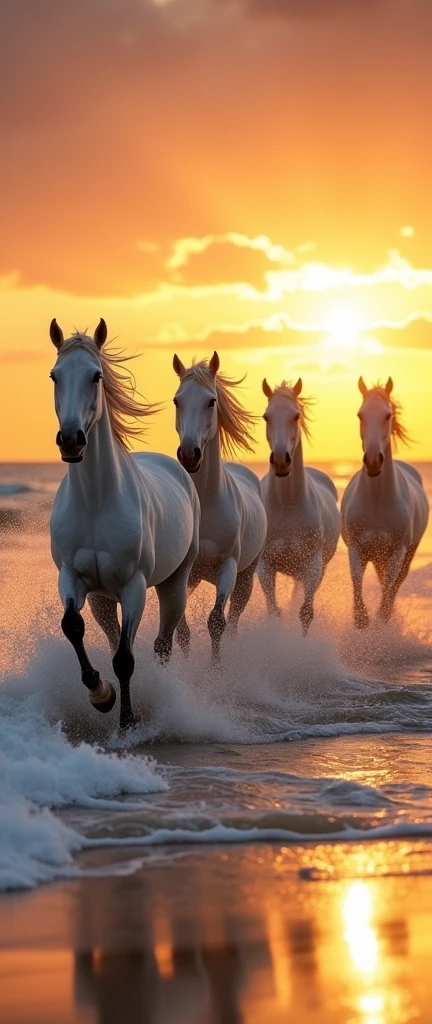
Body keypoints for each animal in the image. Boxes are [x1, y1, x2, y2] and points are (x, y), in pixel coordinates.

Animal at [49, 319, 200, 729]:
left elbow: (125, 658)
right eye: (54, 375)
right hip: (102, 599)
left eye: (96, 375)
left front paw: (127, 722)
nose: (71, 440)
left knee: (162, 645)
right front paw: (101, 694)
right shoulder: (72, 577)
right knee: (111, 633)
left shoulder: (134, 586)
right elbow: (73, 627)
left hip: (173, 585)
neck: (96, 501)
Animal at [170, 352, 266, 663]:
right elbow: (181, 630)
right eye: (177, 400)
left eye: (211, 401)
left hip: (246, 578)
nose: (189, 454)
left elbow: (216, 622)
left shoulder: (229, 567)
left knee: (233, 619)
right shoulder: (183, 575)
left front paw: (216, 669)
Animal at [256, 376, 339, 630]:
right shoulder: (265, 566)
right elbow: (273, 611)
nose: (281, 461)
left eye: (296, 415)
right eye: (266, 416)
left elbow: (305, 613)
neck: (287, 505)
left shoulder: (313, 565)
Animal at [339, 378, 427, 622]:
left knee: (395, 584)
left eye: (387, 415)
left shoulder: (397, 552)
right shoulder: (356, 548)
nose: (373, 461)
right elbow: (357, 581)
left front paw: (381, 620)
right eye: (360, 415)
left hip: (408, 553)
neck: (377, 502)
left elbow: (389, 588)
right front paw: (361, 619)